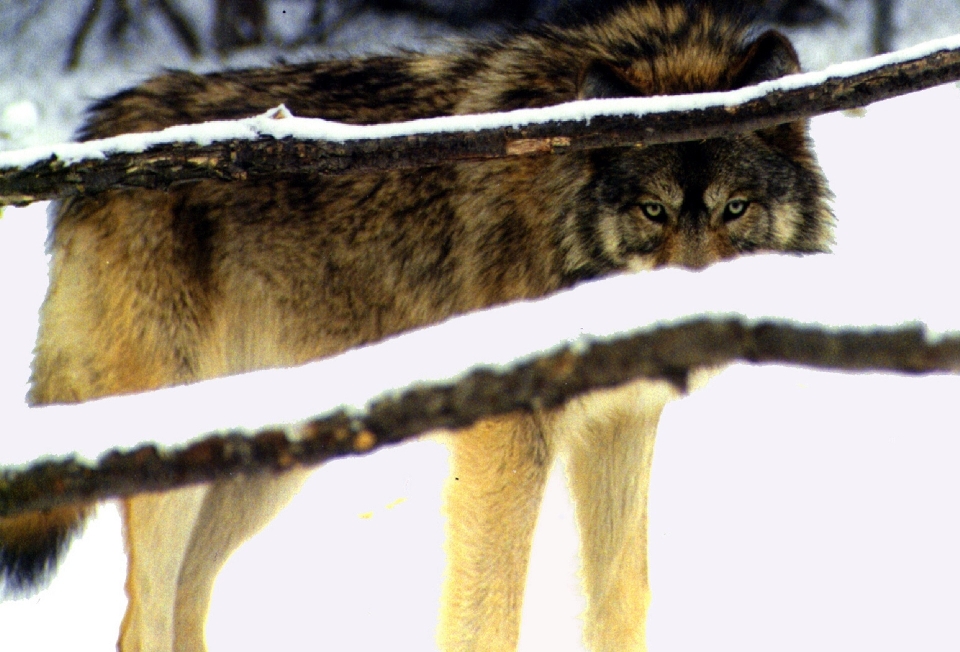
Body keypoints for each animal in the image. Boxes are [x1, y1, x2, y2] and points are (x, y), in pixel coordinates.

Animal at [0, 2, 832, 648]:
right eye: (652, 211)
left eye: (734, 208)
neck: (561, 215)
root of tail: (101, 129)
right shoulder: (507, 440)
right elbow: (488, 615)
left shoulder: (621, 429)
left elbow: (622, 602)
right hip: (177, 469)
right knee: (141, 622)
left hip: (263, 467)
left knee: (185, 602)